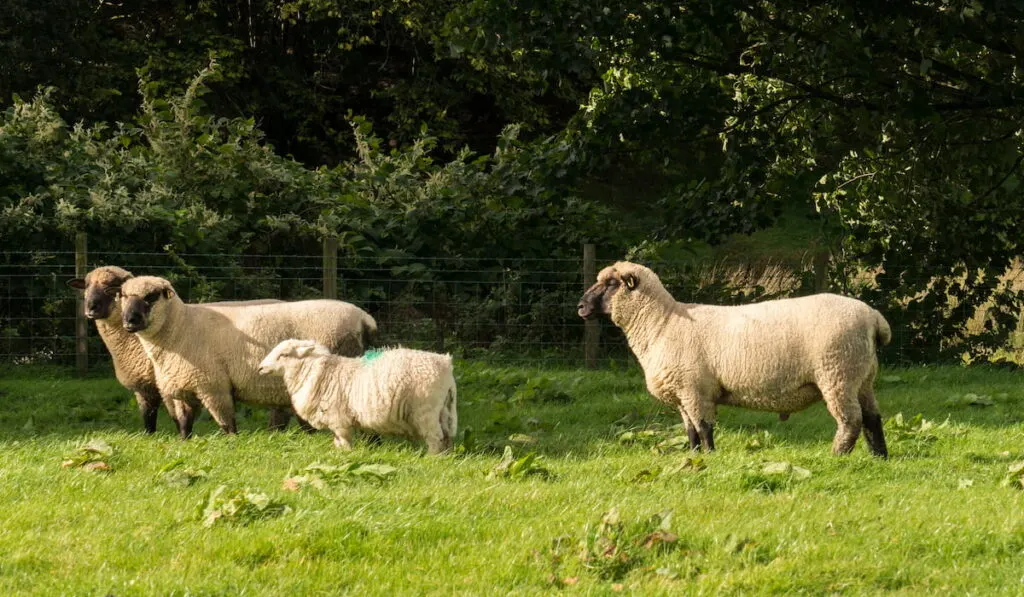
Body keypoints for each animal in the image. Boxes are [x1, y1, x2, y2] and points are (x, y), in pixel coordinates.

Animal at [66, 266, 288, 438]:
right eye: (86, 285)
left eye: (111, 286)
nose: (90, 308)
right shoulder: (145, 386)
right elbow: (149, 417)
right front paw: (151, 438)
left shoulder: (170, 383)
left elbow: (175, 417)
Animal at [117, 274, 380, 434]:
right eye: (124, 296)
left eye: (151, 296)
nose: (129, 321)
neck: (181, 328)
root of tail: (364, 318)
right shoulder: (183, 387)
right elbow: (184, 425)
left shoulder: (214, 386)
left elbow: (227, 424)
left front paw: (232, 445)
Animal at [256, 337, 456, 454]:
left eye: (283, 354)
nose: (260, 368)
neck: (321, 372)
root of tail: (446, 364)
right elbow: (337, 441)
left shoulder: (338, 419)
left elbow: (344, 440)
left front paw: (346, 456)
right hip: (443, 409)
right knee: (446, 435)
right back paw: (445, 457)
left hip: (426, 409)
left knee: (435, 436)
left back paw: (431, 458)